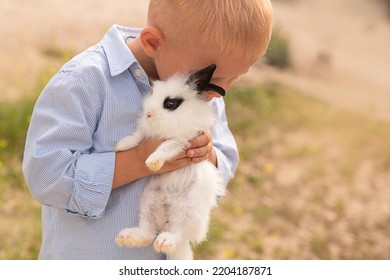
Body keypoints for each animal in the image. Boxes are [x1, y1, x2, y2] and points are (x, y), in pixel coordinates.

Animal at [113, 64, 225, 260]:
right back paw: (128, 237)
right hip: (149, 201)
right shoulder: (146, 132)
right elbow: (137, 136)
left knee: (176, 233)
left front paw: (152, 162)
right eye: (153, 93)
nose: (149, 114)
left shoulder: (183, 140)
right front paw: (121, 146)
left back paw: (164, 242)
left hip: (186, 210)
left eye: (170, 104)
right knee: (148, 232)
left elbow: (166, 147)